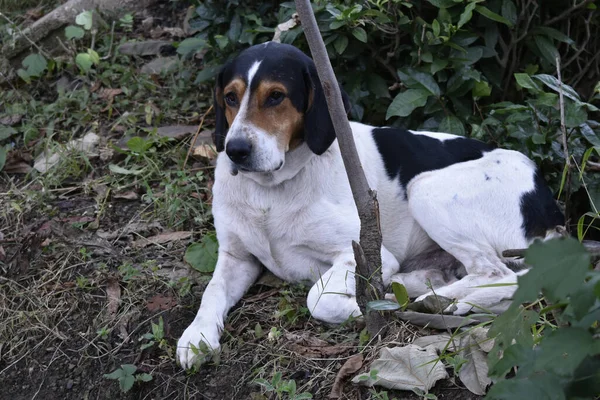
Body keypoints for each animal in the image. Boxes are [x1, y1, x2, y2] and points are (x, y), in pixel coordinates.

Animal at [176, 41, 564, 368]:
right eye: (230, 97)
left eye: (275, 97)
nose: (235, 150)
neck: (270, 192)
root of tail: (550, 204)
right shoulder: (236, 257)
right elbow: (211, 292)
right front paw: (197, 335)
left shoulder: (362, 253)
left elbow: (319, 298)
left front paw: (371, 307)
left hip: (425, 189)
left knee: (499, 275)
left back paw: (428, 300)